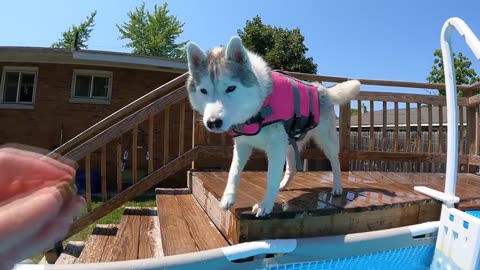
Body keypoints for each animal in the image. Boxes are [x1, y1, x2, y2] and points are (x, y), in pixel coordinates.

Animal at [186, 36, 358, 217]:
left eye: (231, 88)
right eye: (203, 91)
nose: (213, 122)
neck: (258, 108)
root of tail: (321, 88)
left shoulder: (275, 147)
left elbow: (271, 176)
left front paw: (266, 204)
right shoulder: (242, 145)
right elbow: (234, 171)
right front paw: (228, 198)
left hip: (325, 140)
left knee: (335, 161)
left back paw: (337, 187)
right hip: (290, 143)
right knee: (291, 168)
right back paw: (283, 184)